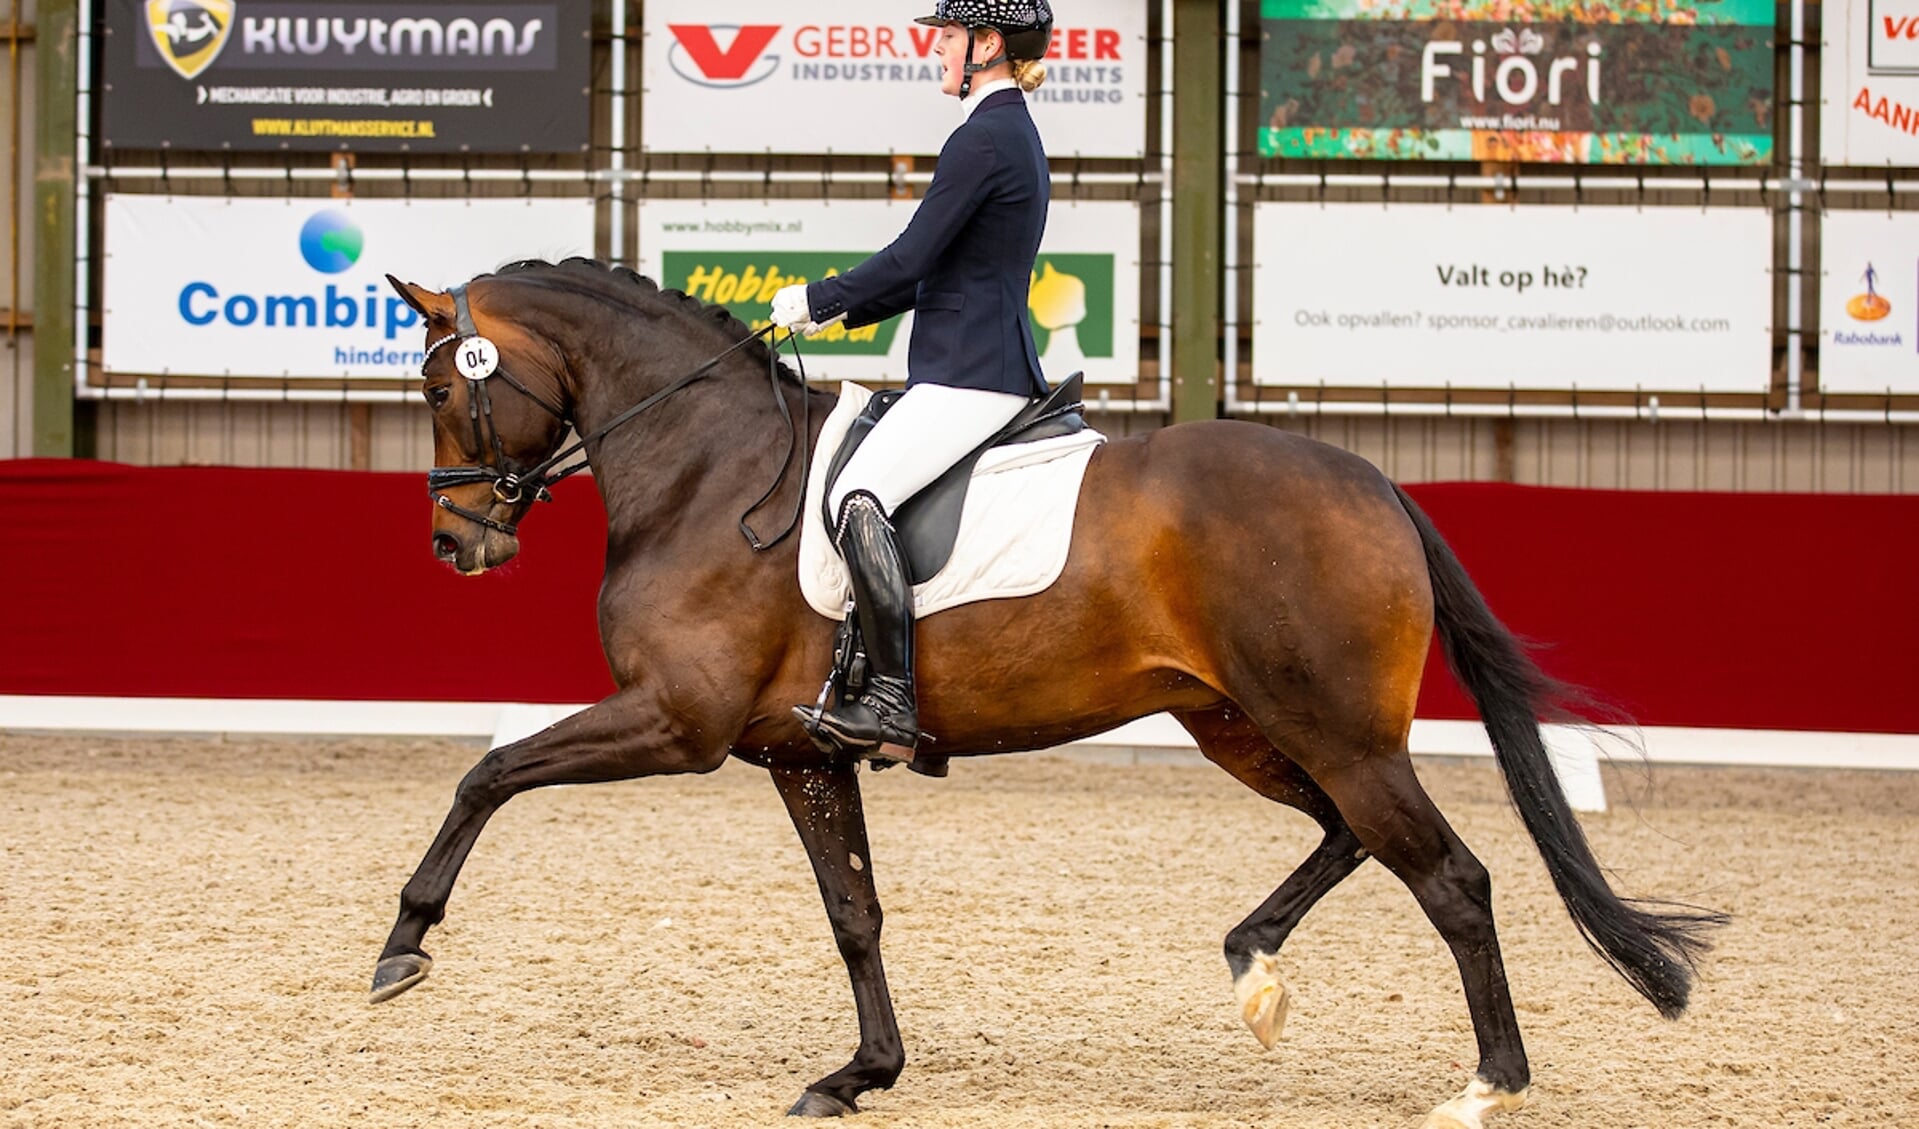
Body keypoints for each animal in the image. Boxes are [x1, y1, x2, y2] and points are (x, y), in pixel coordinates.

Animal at [366, 257, 1719, 1129]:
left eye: (437, 387)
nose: (453, 542)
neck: (708, 467)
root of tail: (1374, 484)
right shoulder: (801, 753)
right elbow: (853, 915)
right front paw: (860, 1073)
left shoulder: (675, 721)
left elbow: (486, 771)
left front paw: (402, 946)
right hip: (1245, 726)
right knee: (1349, 838)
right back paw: (1253, 966)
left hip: (1330, 730)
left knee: (1451, 878)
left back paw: (1488, 1081)